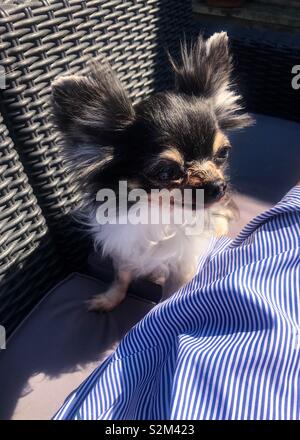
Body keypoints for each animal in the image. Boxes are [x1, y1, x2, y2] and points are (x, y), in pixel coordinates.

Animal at [50, 32, 252, 312]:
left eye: (223, 153)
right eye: (166, 172)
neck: (160, 212)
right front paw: (109, 298)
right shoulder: (125, 250)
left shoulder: (181, 267)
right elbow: (121, 277)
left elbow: (168, 299)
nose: (218, 186)